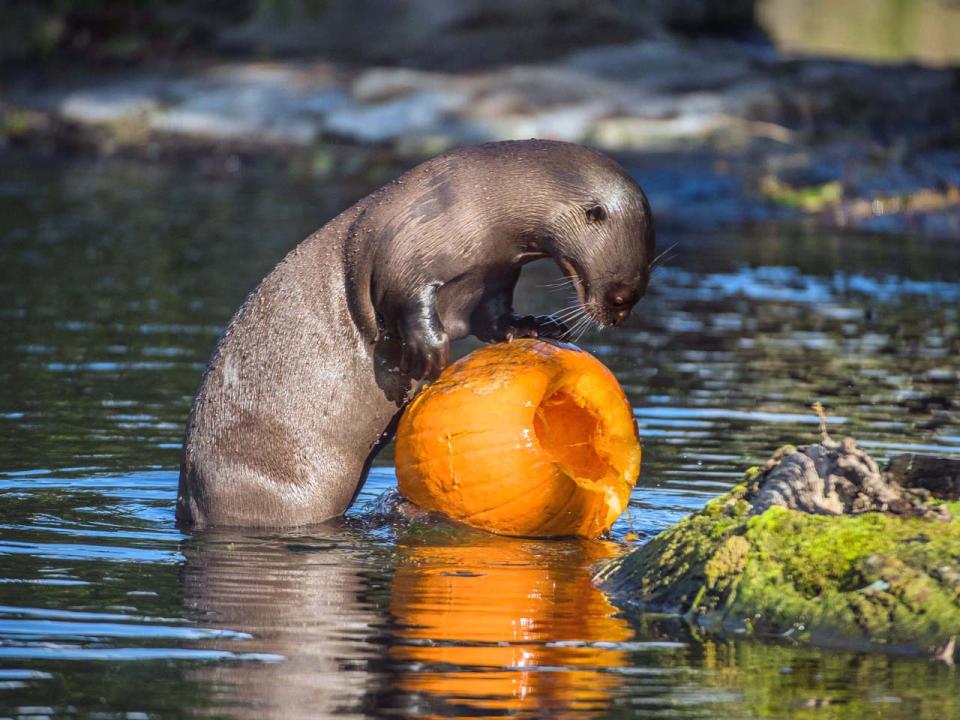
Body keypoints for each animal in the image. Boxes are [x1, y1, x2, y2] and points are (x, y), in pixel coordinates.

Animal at [176, 139, 656, 528]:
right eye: (620, 296)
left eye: (634, 297)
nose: (617, 316)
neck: (476, 204)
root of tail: (190, 505)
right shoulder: (407, 244)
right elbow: (405, 297)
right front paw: (427, 354)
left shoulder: (494, 275)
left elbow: (493, 319)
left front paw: (536, 326)